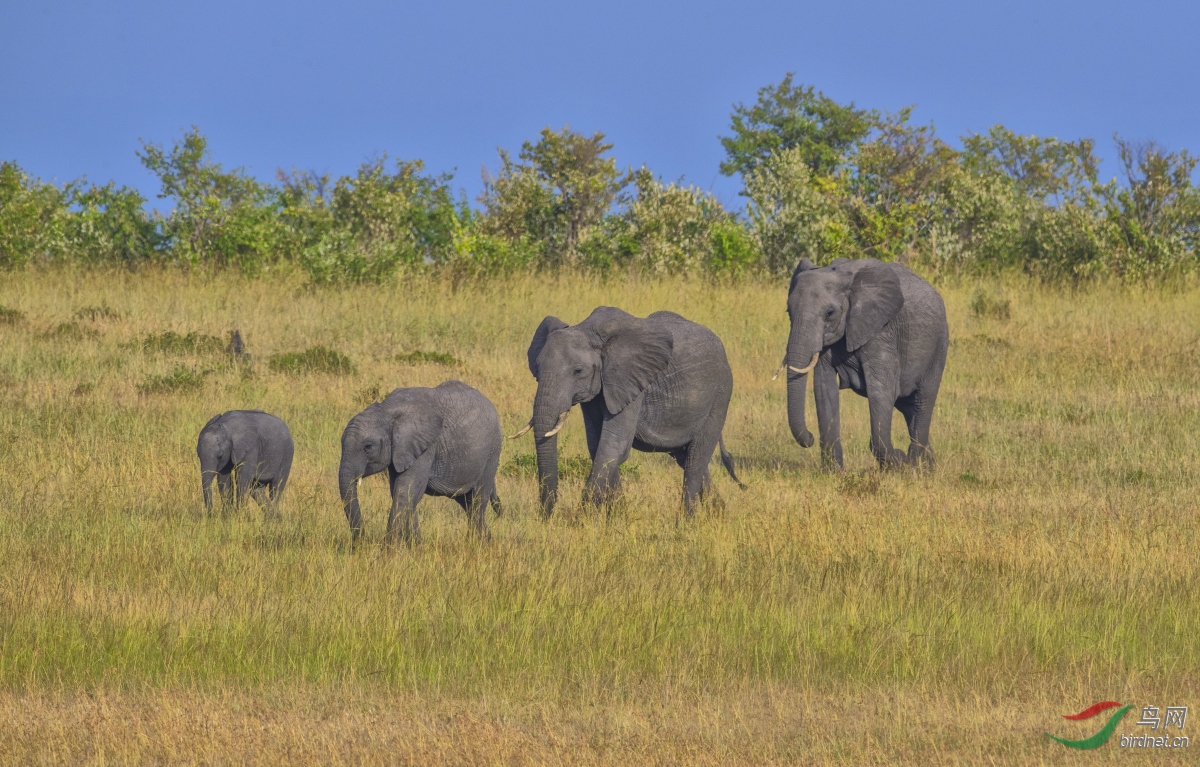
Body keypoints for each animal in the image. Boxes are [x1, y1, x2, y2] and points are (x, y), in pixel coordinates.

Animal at [338, 381, 501, 542]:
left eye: (368, 446)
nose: (361, 541)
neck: (387, 410)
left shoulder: (426, 447)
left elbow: (406, 489)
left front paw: (390, 548)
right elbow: (404, 493)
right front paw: (416, 545)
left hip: (492, 451)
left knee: (478, 498)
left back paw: (476, 543)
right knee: (467, 502)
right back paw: (488, 541)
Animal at [513, 304, 739, 516]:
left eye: (578, 371)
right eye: (537, 368)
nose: (546, 517)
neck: (589, 330)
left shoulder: (631, 382)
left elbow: (614, 446)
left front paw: (582, 519)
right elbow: (597, 446)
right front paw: (619, 516)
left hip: (720, 395)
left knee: (695, 459)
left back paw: (687, 521)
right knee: (688, 458)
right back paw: (718, 514)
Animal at [782, 258, 950, 468]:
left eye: (830, 313)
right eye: (788, 311)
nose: (810, 438)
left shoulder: (881, 331)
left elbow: (881, 389)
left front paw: (898, 460)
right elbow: (824, 388)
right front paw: (834, 472)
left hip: (938, 347)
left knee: (922, 401)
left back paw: (914, 462)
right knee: (908, 406)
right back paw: (928, 467)